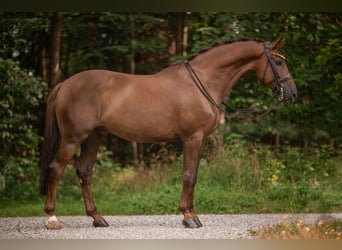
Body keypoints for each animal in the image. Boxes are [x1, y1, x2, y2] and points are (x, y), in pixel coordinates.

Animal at [39, 36, 296, 229]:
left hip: (93, 136)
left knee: (84, 172)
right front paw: (188, 217)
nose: (292, 93)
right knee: (56, 169)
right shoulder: (192, 138)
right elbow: (188, 175)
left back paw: (97, 218)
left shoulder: (201, 140)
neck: (203, 82)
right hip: (72, 138)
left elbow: (194, 176)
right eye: (277, 62)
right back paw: (52, 218)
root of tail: (64, 85)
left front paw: (190, 213)